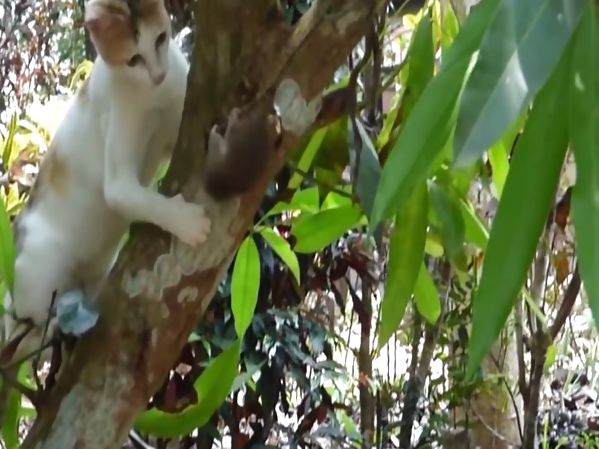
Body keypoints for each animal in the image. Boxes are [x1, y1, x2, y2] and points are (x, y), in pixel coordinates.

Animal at [1, 0, 212, 364]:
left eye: (160, 39)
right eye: (133, 59)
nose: (158, 76)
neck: (153, 97)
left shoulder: (175, 118)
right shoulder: (118, 181)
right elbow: (134, 197)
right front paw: (187, 222)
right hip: (38, 272)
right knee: (25, 341)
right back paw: (50, 331)